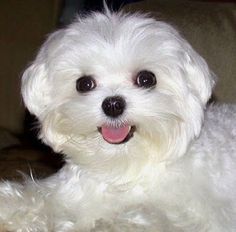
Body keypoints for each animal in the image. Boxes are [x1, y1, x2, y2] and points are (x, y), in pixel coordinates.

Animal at [0, 9, 236, 232]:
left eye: (146, 79)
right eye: (84, 84)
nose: (113, 105)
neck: (123, 167)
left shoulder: (203, 215)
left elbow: (144, 218)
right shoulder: (66, 192)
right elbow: (40, 198)